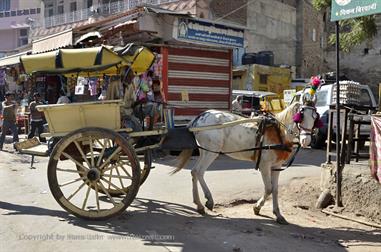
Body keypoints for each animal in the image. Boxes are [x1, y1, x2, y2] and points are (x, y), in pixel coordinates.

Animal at [172, 102, 318, 224]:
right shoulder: (264, 166)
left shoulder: (276, 166)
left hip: (205, 151)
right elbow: (269, 189)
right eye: (301, 117)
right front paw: (257, 208)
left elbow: (275, 190)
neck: (279, 133)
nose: (306, 141)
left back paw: (199, 204)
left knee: (194, 172)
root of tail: (199, 118)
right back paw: (206, 202)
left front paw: (278, 214)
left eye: (315, 119)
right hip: (212, 152)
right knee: (199, 172)